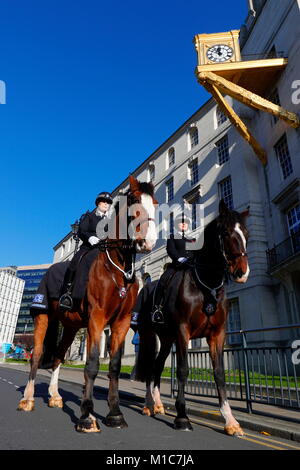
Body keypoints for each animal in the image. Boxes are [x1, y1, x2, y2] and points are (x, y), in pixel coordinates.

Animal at [17, 176, 157, 434]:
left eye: (154, 203)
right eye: (133, 201)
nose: (148, 242)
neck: (117, 268)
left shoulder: (120, 323)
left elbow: (113, 367)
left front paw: (115, 414)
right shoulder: (97, 319)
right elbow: (91, 365)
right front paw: (86, 416)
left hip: (70, 327)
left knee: (58, 356)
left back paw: (54, 396)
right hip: (43, 317)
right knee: (37, 354)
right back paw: (28, 399)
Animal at [135, 199, 248, 436]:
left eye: (246, 233)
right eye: (226, 232)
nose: (242, 273)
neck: (206, 286)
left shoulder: (217, 334)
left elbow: (219, 373)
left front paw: (230, 420)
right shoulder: (182, 330)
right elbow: (183, 370)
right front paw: (182, 416)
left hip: (166, 339)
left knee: (157, 367)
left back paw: (158, 404)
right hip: (150, 335)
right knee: (150, 367)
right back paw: (148, 405)